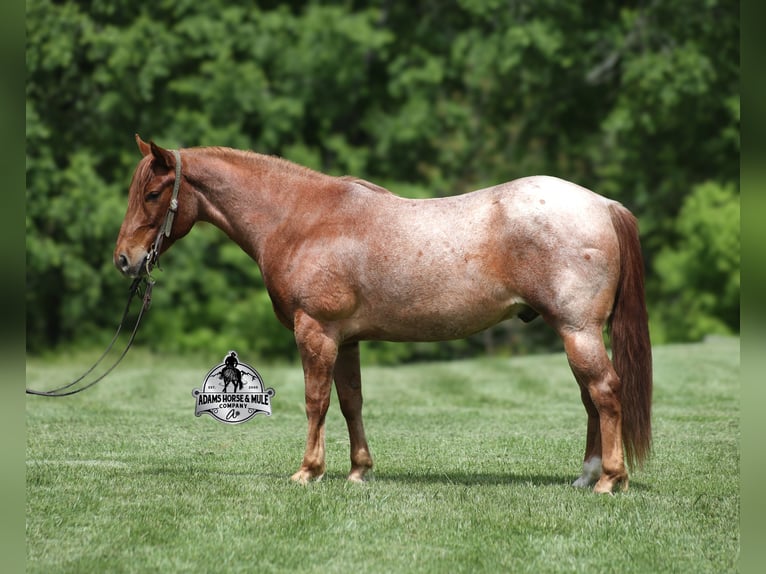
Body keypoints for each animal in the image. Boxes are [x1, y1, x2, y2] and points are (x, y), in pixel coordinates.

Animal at [115, 135, 652, 493]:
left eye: (153, 194)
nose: (125, 260)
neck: (302, 219)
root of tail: (603, 204)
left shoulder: (316, 333)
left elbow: (316, 402)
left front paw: (308, 471)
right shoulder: (346, 339)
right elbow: (351, 402)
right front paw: (358, 471)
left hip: (577, 330)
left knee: (605, 392)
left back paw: (610, 480)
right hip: (575, 333)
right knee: (590, 398)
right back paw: (586, 476)